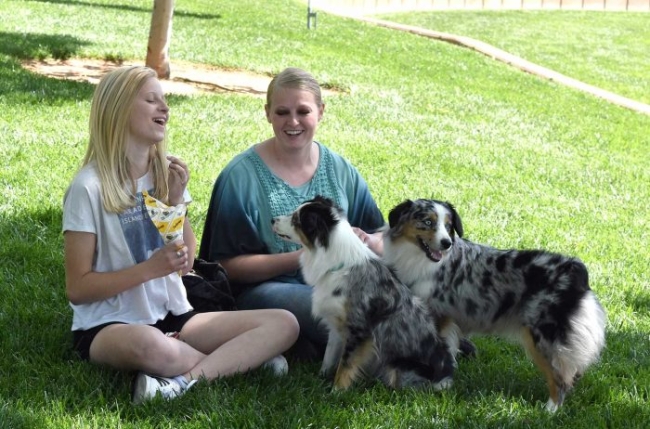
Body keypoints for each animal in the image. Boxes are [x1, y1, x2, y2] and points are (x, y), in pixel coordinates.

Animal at [270, 196, 454, 390]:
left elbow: (345, 365)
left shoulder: (358, 330)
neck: (337, 263)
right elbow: (329, 356)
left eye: (296, 220)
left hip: (398, 366)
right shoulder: (336, 325)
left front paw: (336, 391)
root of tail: (446, 375)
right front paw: (321, 378)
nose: (272, 220)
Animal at [382, 198, 604, 412]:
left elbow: (439, 351)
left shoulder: (439, 317)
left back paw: (550, 409)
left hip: (544, 337)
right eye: (428, 222)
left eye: (448, 226)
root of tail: (576, 271)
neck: (418, 256)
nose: (446, 243)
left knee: (560, 376)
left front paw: (440, 384)